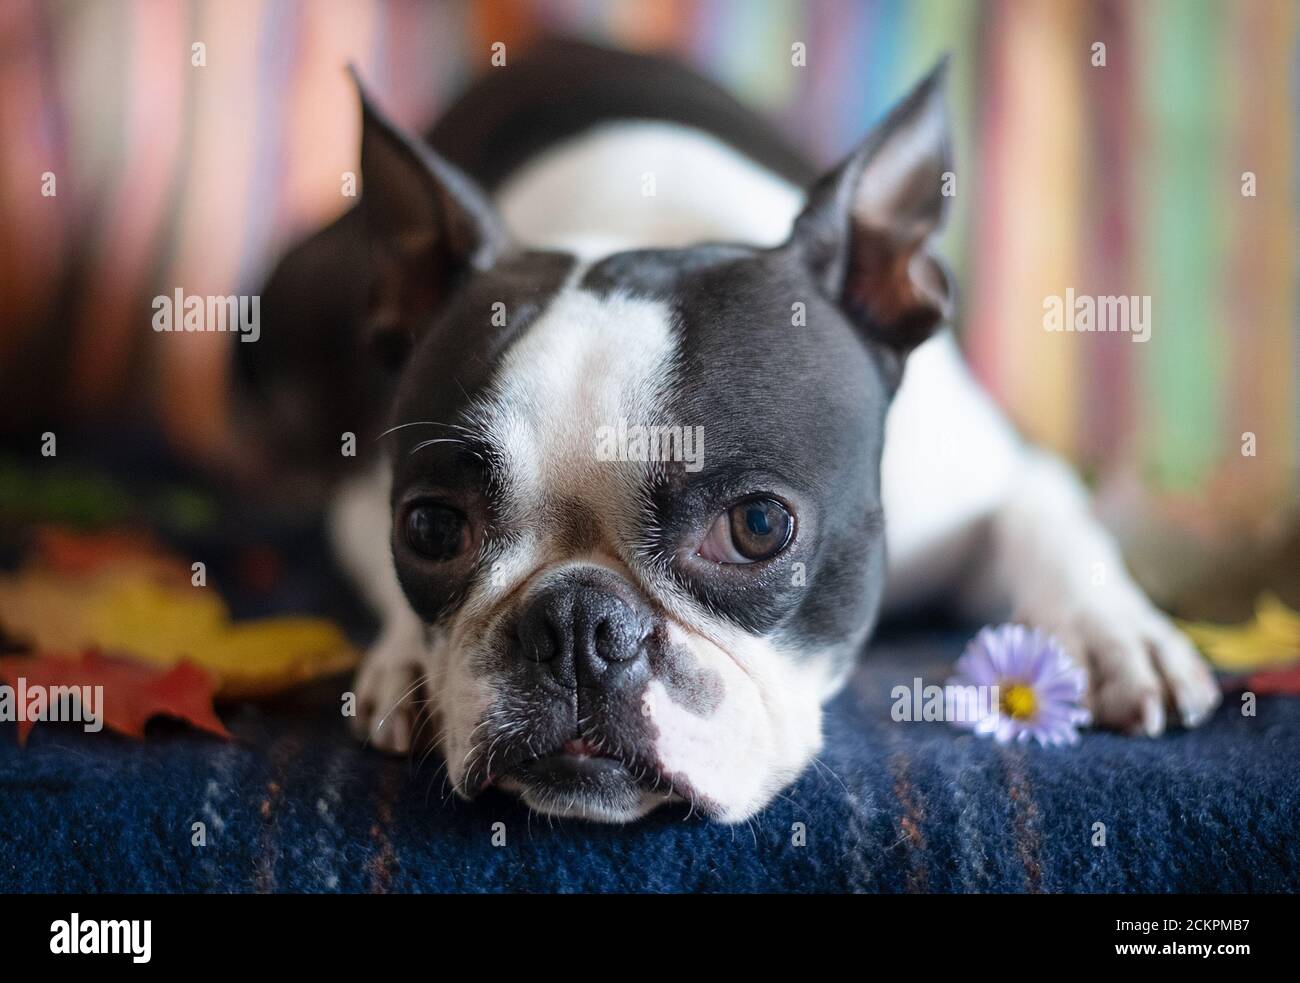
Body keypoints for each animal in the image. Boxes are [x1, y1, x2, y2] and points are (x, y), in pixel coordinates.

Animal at [250, 40, 1216, 821]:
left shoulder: (988, 472)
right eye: (431, 527)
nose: (575, 625)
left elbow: (1046, 514)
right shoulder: (360, 495)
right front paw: (405, 663)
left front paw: (1112, 633)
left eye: (758, 526)